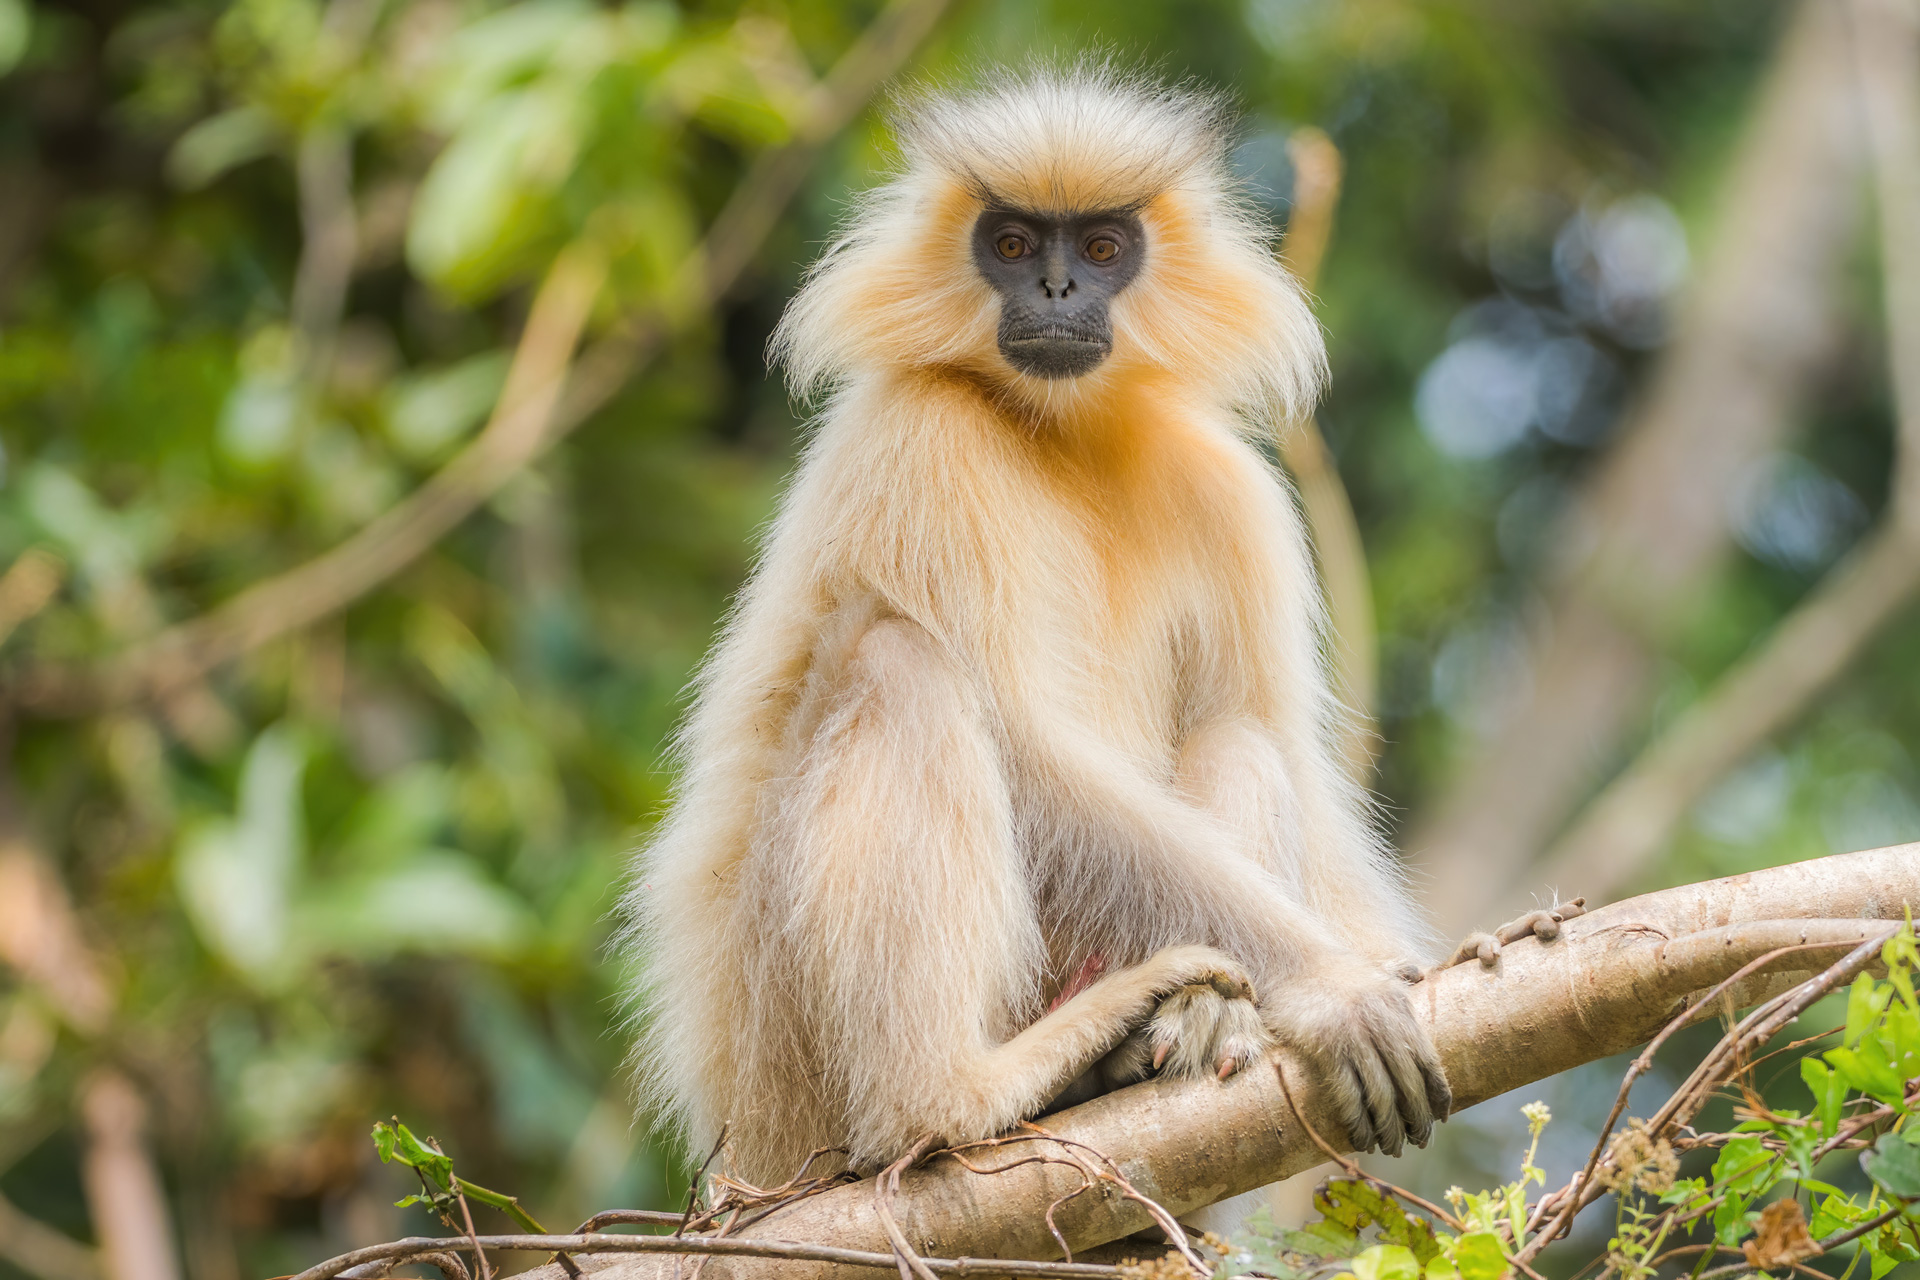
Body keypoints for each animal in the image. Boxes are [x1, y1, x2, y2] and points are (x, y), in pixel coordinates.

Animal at [622, 65, 1443, 1189]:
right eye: (1011, 245)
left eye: (1099, 249)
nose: (1055, 292)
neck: (1059, 434)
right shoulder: (921, 435)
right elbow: (1022, 742)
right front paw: (1334, 985)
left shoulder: (1235, 493)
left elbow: (1290, 761)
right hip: (781, 1066)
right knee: (902, 661)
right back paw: (960, 1094)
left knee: (1239, 737)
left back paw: (1190, 1022)